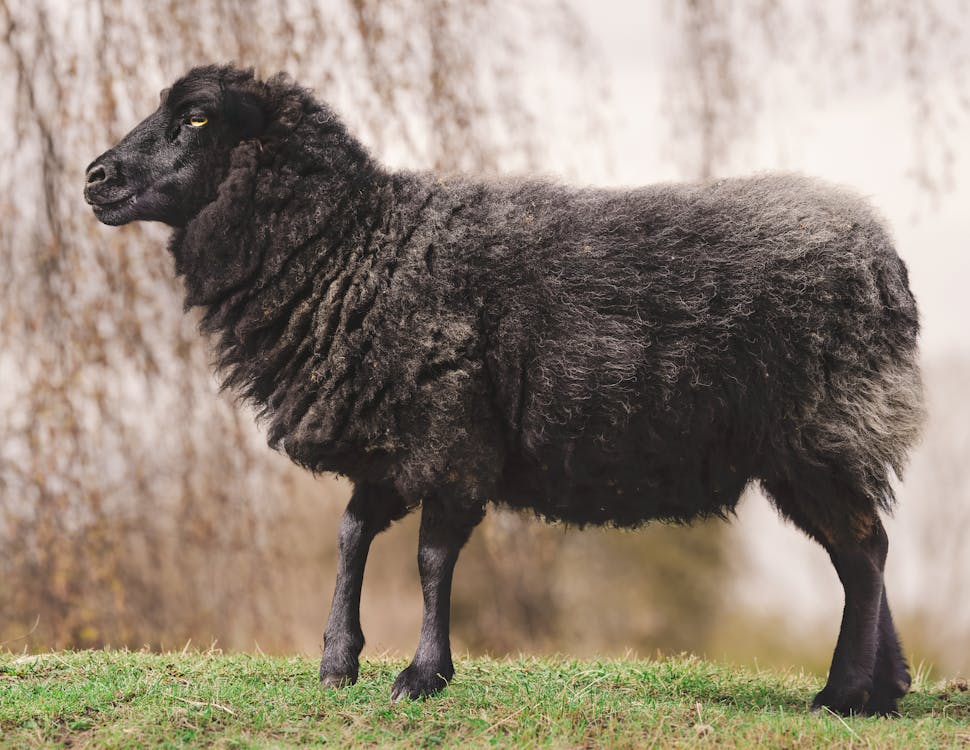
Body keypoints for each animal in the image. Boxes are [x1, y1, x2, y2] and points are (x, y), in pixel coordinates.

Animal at [84, 64, 924, 715]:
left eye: (196, 117)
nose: (95, 177)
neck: (357, 247)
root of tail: (883, 257)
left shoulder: (453, 435)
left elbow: (430, 557)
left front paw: (422, 674)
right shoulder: (393, 440)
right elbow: (351, 536)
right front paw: (337, 661)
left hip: (822, 432)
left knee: (863, 553)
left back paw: (844, 693)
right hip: (816, 447)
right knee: (867, 551)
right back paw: (885, 689)